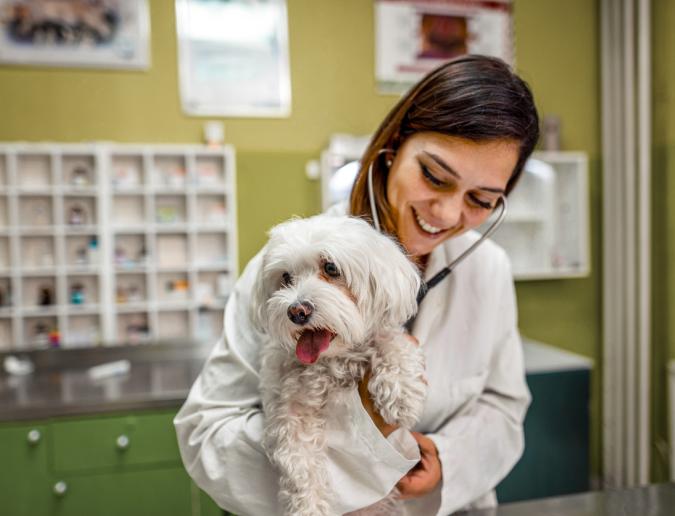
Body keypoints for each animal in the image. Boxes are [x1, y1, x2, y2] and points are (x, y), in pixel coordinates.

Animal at [254, 215, 428, 516]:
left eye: (331, 268)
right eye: (285, 277)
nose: (296, 311)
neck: (332, 361)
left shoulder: (384, 336)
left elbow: (392, 343)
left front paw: (402, 393)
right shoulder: (290, 410)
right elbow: (300, 464)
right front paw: (308, 508)